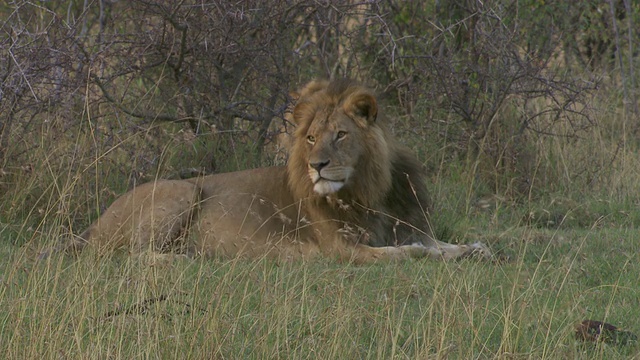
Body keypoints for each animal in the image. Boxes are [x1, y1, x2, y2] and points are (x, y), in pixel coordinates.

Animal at [46, 79, 490, 262]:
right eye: (310, 138)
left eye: (341, 135)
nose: (316, 166)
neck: (369, 190)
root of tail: (94, 224)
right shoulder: (340, 249)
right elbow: (404, 253)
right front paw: (425, 254)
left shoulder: (405, 225)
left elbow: (439, 244)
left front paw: (473, 249)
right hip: (182, 191)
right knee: (131, 256)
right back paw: (185, 259)